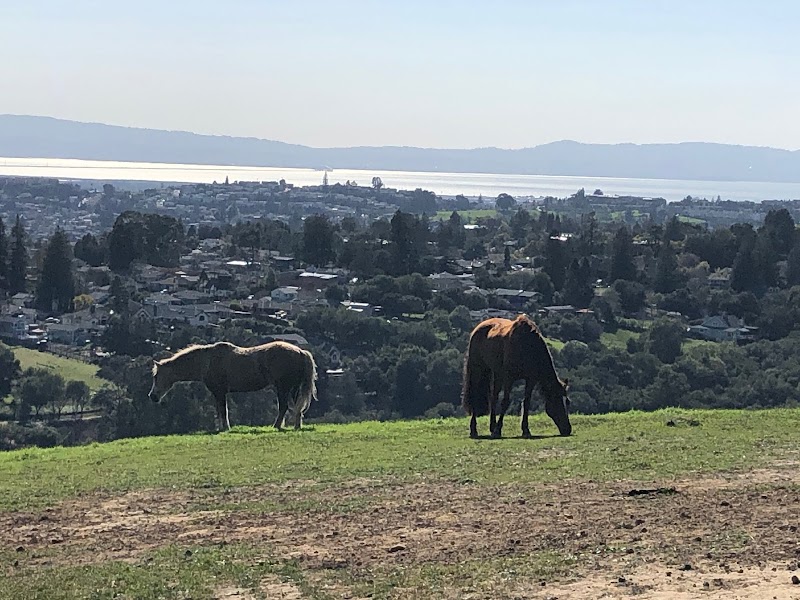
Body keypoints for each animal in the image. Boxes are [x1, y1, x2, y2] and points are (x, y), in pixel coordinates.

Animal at [149, 340, 317, 432]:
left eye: (156, 376)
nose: (152, 396)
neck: (207, 361)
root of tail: (300, 351)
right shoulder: (218, 393)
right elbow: (219, 411)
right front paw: (221, 428)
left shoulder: (220, 392)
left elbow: (223, 411)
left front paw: (225, 428)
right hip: (293, 388)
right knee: (297, 408)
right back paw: (296, 426)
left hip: (283, 388)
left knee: (284, 407)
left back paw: (276, 426)